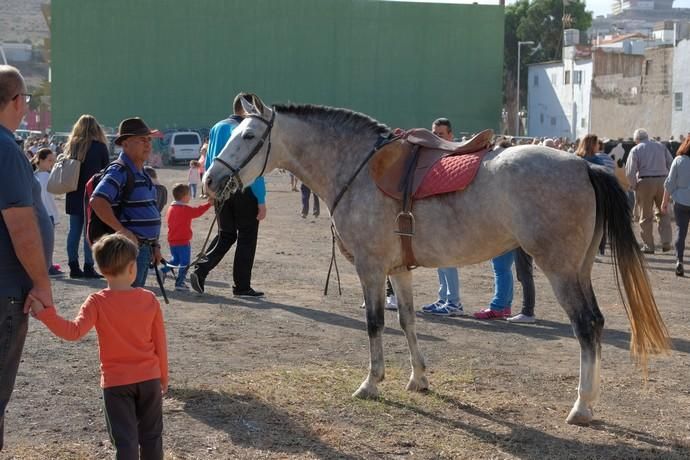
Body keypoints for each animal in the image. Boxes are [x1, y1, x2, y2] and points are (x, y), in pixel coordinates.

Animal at [203, 96, 668, 424]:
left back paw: (582, 407)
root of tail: (584, 166)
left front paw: (372, 382)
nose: (210, 179)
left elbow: (375, 324)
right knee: (597, 323)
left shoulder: (371, 269)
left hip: (560, 269)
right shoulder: (399, 271)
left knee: (586, 327)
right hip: (580, 268)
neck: (357, 168)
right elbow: (408, 322)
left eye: (248, 137)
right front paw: (419, 379)